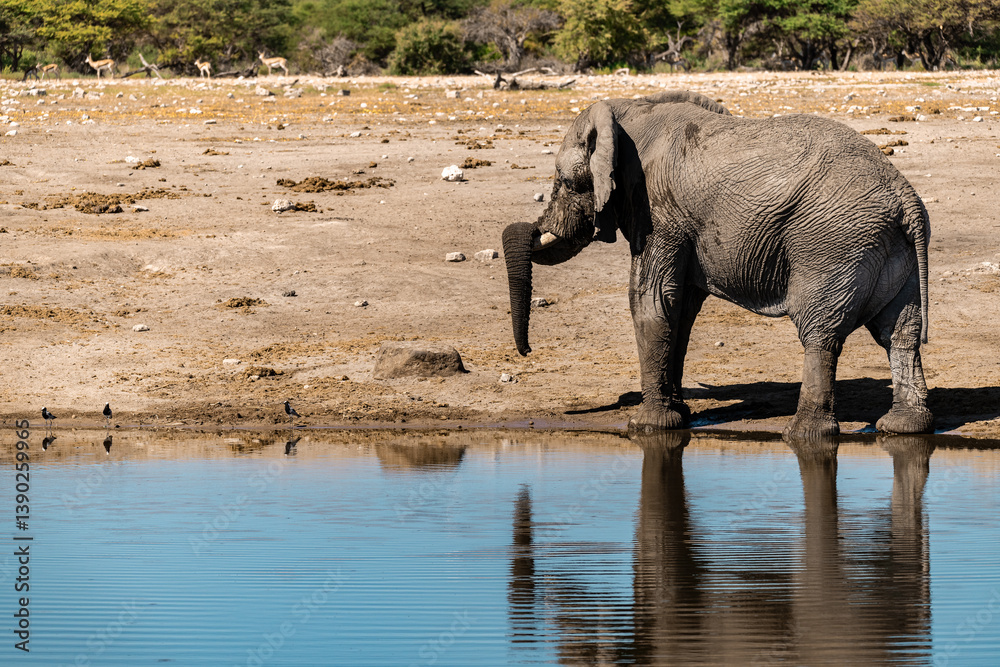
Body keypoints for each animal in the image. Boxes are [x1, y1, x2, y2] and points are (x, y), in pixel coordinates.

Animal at [502, 90, 932, 438]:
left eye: (565, 181)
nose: (526, 352)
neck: (631, 109)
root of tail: (905, 196)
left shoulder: (659, 212)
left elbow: (650, 303)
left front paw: (647, 426)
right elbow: (679, 309)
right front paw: (679, 414)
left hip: (832, 244)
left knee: (820, 332)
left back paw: (805, 435)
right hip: (890, 250)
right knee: (900, 333)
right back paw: (903, 428)